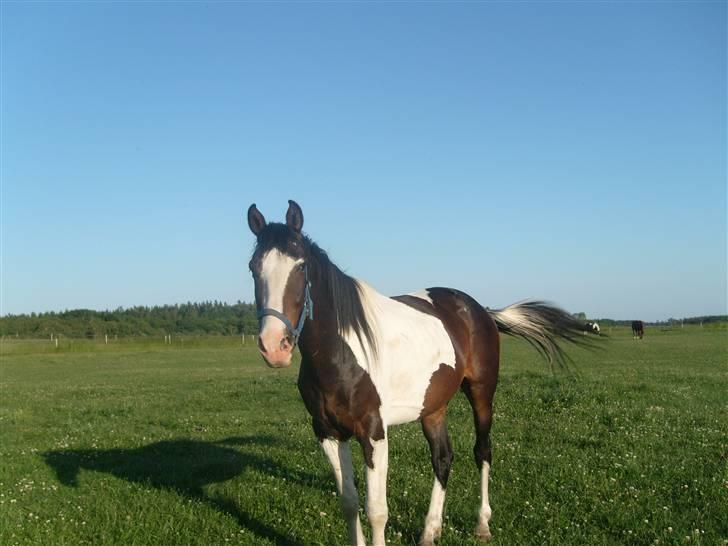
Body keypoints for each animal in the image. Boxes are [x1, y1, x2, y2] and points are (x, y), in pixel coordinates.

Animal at [247, 200, 588, 544]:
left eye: (301, 266)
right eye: (253, 267)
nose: (274, 346)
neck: (341, 354)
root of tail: (479, 310)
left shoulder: (373, 432)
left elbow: (376, 510)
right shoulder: (328, 432)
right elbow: (349, 502)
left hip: (482, 393)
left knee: (483, 451)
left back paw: (482, 524)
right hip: (433, 407)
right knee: (443, 458)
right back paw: (430, 530)